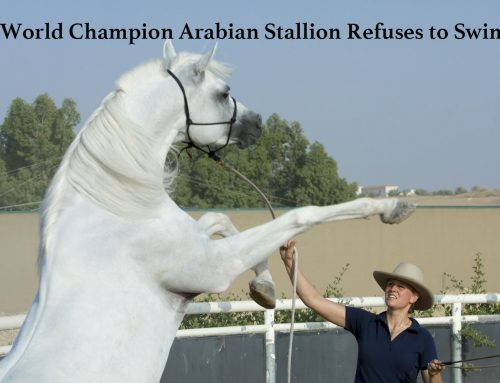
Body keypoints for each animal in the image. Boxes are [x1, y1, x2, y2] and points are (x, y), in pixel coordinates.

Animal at [0, 42, 414, 383]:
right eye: (224, 92)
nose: (258, 123)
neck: (115, 212)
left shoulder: (201, 246)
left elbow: (218, 218)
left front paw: (264, 287)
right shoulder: (211, 268)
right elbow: (301, 214)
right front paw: (393, 206)